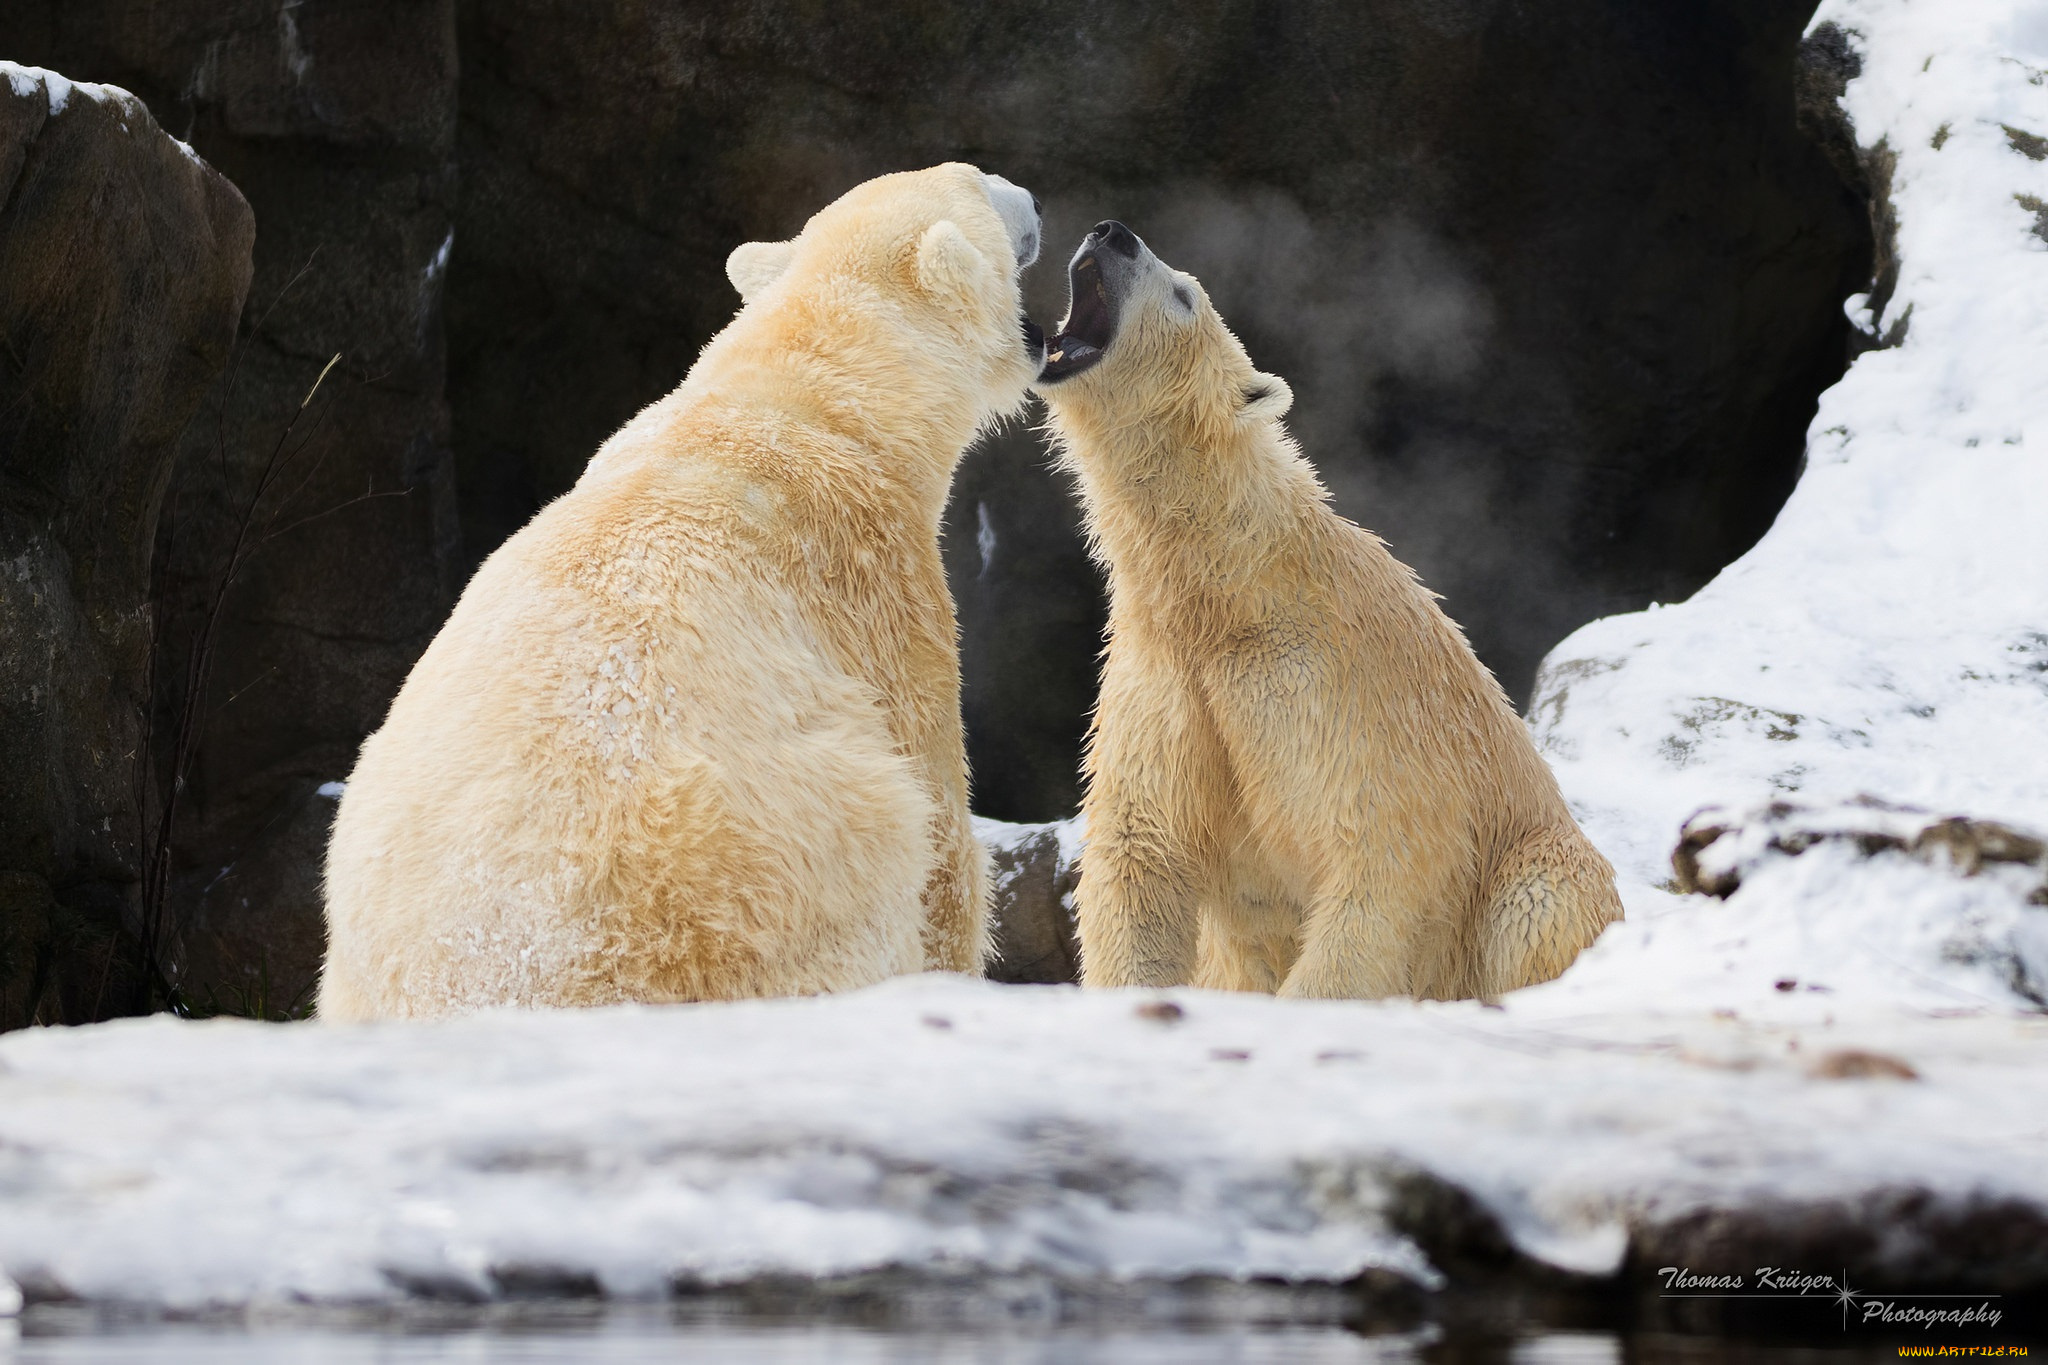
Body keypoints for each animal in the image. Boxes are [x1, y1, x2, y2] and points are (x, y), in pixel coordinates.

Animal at [325, 165, 1048, 1019]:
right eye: (977, 181)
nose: (1033, 199)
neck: (812, 397)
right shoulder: (874, 584)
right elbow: (938, 835)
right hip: (752, 894)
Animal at [1032, 218, 1622, 998]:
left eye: (1185, 295)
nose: (1113, 232)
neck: (1230, 590)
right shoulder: (1165, 683)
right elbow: (1142, 856)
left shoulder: (1325, 687)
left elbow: (1379, 855)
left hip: (1533, 858)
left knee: (1542, 900)